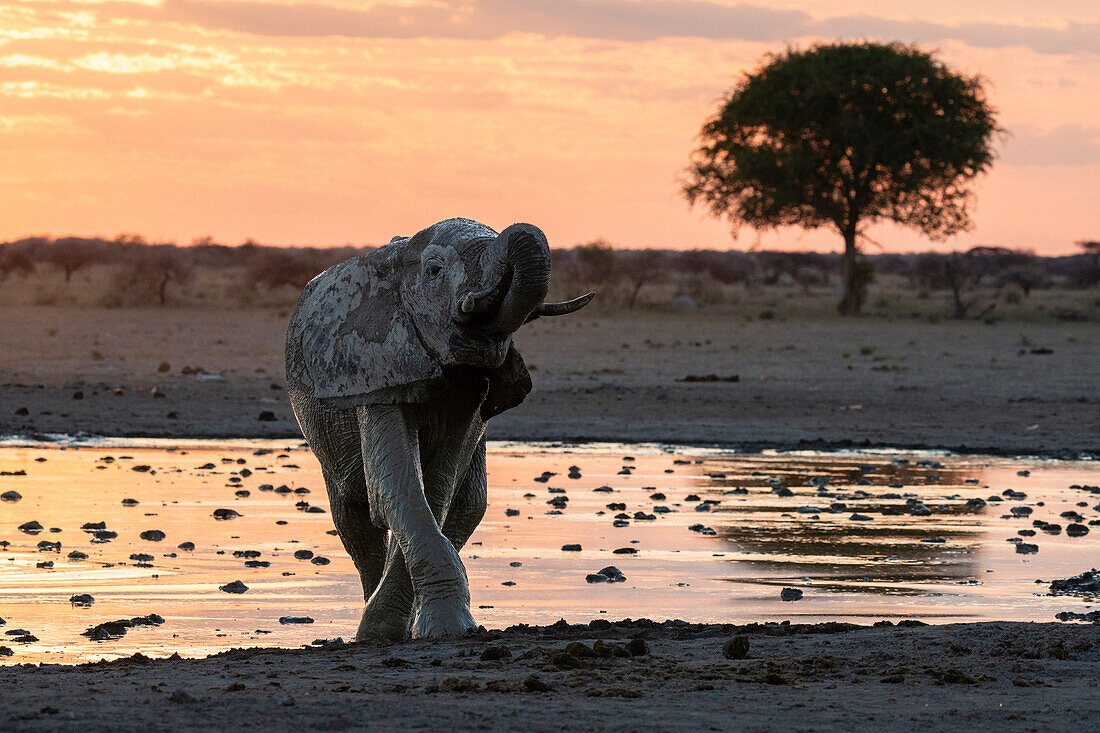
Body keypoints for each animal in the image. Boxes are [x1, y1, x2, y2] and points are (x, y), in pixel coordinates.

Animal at [283, 214, 594, 638]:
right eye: (433, 271)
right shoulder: (376, 364)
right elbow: (397, 484)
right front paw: (391, 631)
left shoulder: (468, 391)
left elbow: (437, 486)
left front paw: (419, 627)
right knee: (353, 520)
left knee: (468, 506)